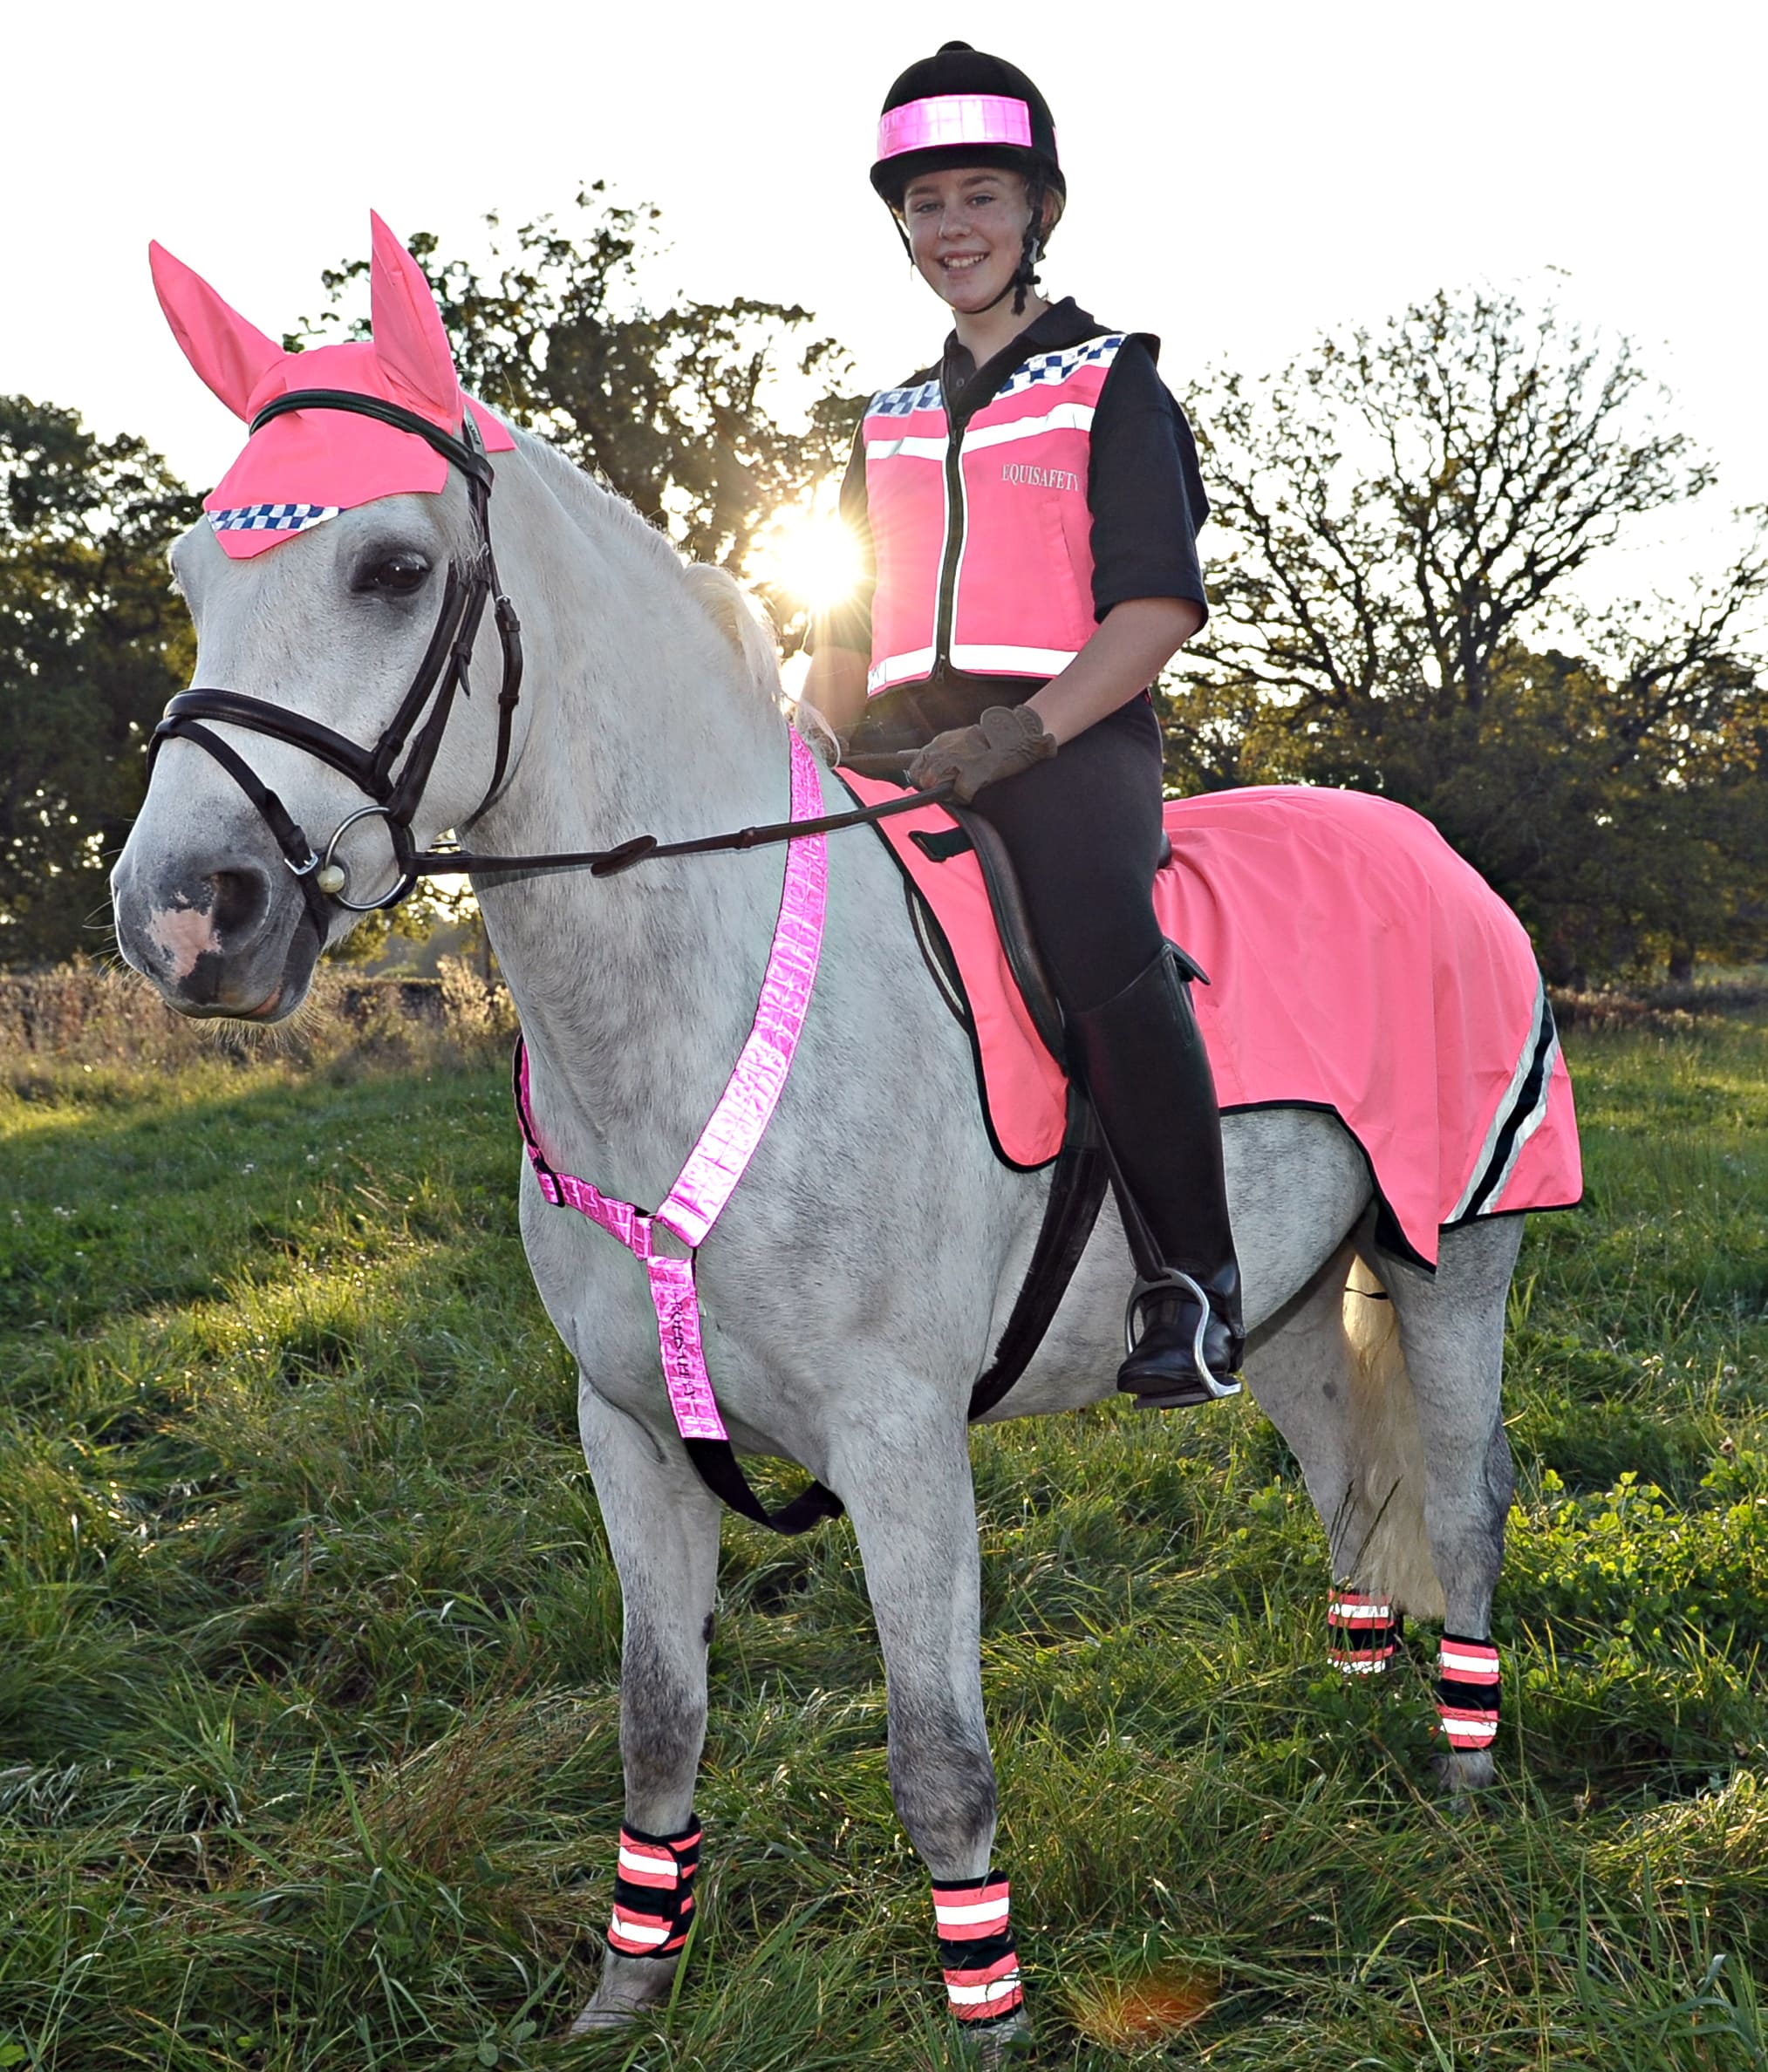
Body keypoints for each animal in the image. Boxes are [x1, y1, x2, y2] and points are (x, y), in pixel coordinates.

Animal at [112, 217, 1556, 2050]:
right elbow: (657, 1720)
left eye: (389, 569)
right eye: (189, 577)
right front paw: (625, 1992)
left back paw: (1460, 1776)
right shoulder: (630, 1437)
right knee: (1349, 1480)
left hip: (1455, 1259)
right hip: (1289, 1300)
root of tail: (1427, 849)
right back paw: (1351, 1706)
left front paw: (990, 2020)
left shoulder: (900, 1445)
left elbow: (939, 1763)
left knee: (1458, 1492)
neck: (694, 1007)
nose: (182, 916)